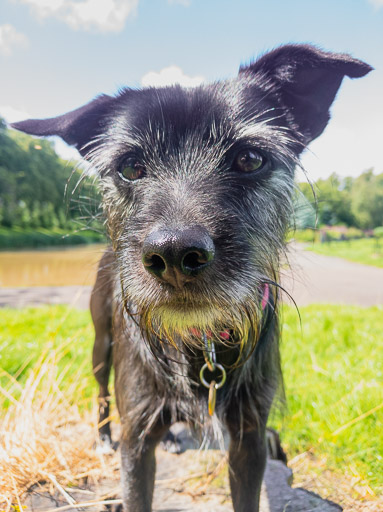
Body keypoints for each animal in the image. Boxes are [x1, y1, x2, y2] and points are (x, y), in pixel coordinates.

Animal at [12, 45, 372, 512]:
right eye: (130, 167)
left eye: (250, 158)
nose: (173, 254)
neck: (198, 343)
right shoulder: (136, 442)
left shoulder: (250, 440)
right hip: (100, 345)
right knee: (101, 393)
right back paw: (102, 436)